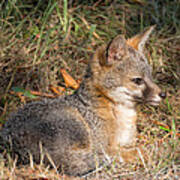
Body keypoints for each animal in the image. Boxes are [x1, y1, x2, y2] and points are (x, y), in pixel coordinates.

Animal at [0, 25, 166, 177]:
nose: (163, 94)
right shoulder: (105, 146)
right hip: (76, 125)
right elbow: (136, 150)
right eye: (138, 80)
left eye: (150, 76)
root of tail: (9, 143)